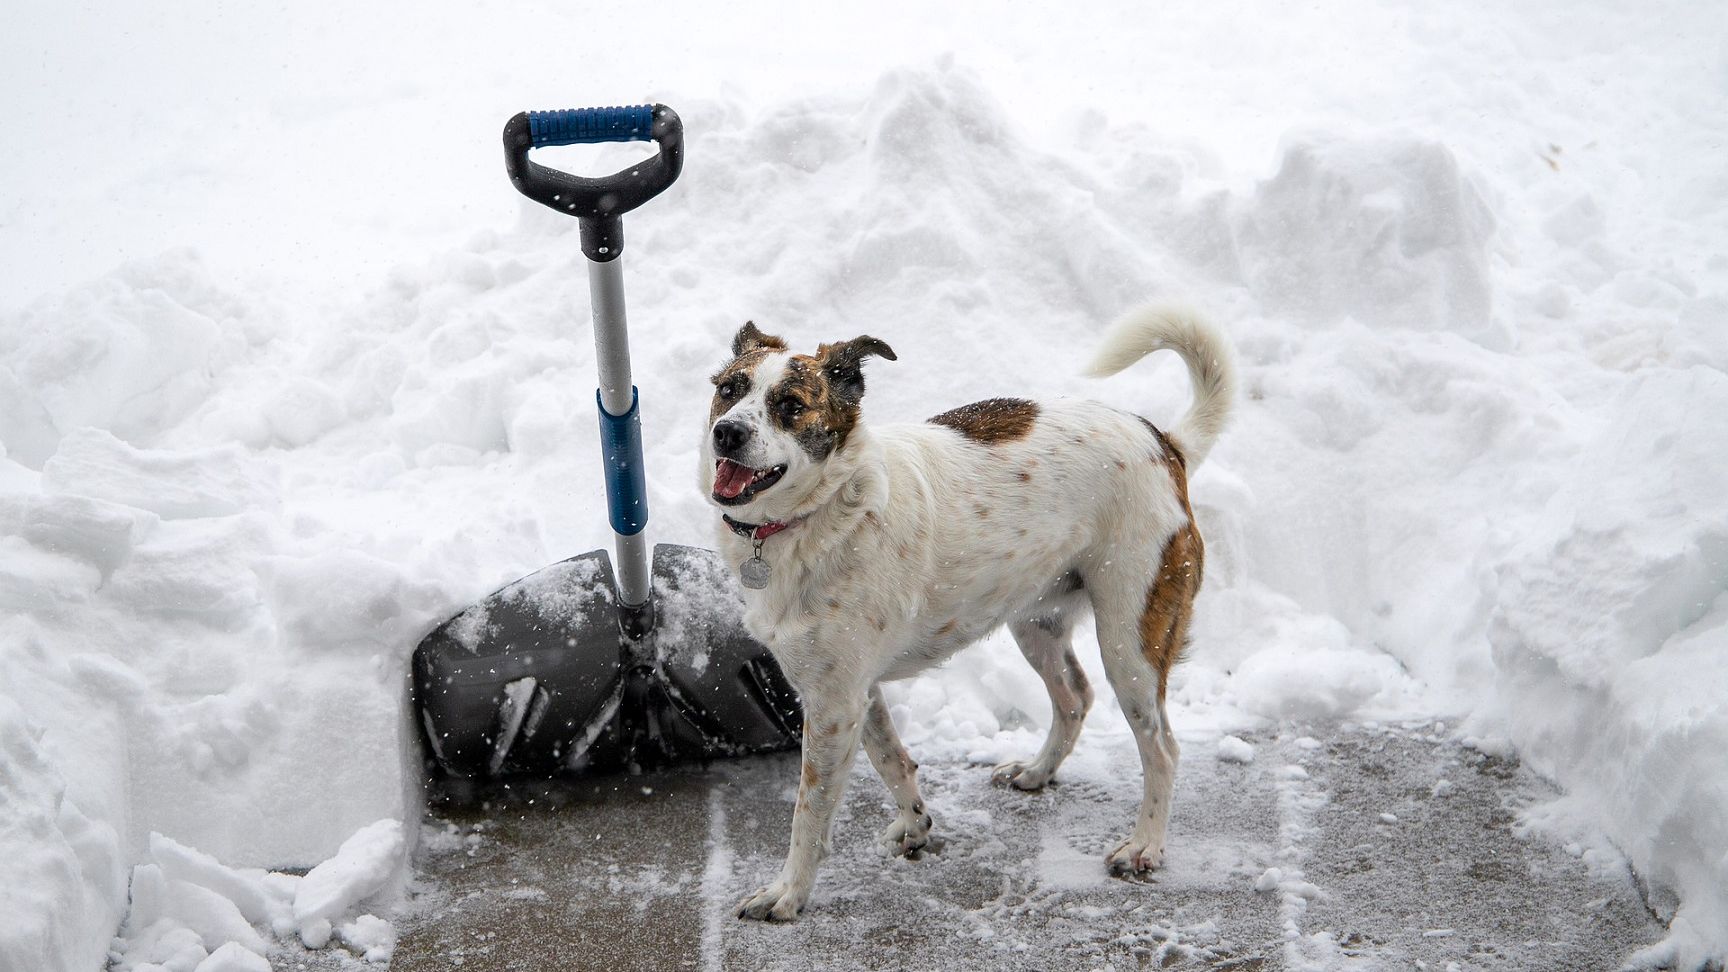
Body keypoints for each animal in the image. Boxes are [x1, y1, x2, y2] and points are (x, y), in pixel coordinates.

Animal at [701, 302, 1244, 913]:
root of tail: (1164, 441)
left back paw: (1145, 845)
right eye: (728, 389)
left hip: (1132, 641)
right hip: (1036, 621)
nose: (727, 432)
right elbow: (891, 760)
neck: (821, 512)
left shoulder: (834, 703)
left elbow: (809, 812)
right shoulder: (853, 690)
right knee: (1075, 697)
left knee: (1163, 749)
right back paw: (1037, 772)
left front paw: (788, 893)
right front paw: (915, 826)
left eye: (791, 405)